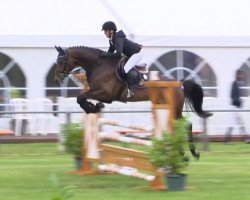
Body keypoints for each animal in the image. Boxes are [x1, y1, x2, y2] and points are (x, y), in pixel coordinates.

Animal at [53, 45, 212, 159]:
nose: (57, 79)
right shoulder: (98, 93)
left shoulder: (106, 94)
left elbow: (80, 98)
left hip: (173, 109)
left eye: (61, 61)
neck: (98, 65)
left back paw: (192, 153)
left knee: (186, 124)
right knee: (183, 125)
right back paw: (183, 153)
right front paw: (94, 106)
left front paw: (93, 107)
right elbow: (82, 98)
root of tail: (179, 83)